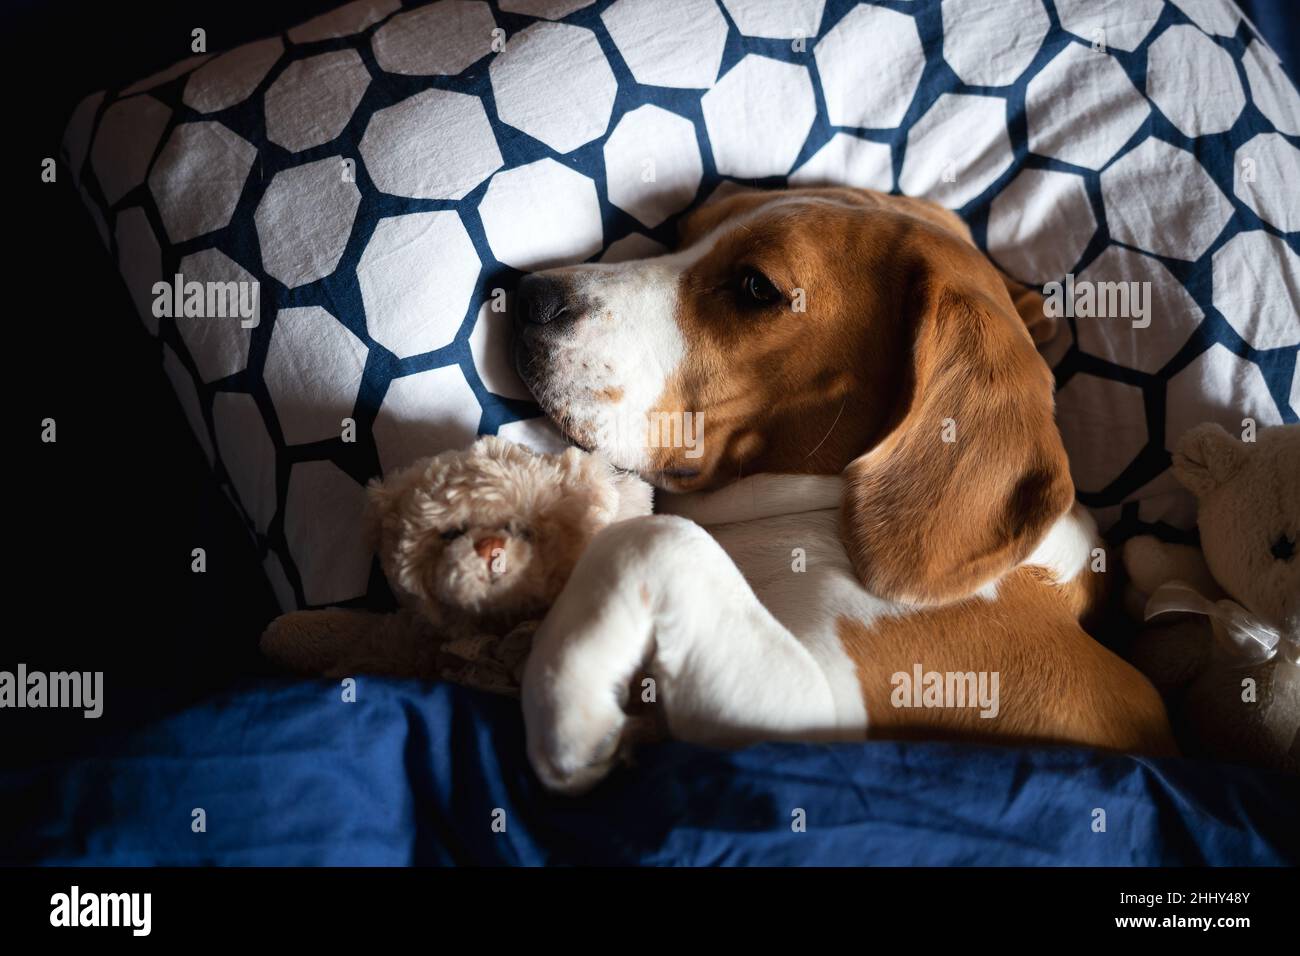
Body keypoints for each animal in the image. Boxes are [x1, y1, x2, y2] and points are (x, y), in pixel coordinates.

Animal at [509, 184, 1180, 790]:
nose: (526, 296)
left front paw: (567, 698)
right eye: (685, 234)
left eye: (756, 288)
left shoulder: (808, 711)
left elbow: (660, 537)